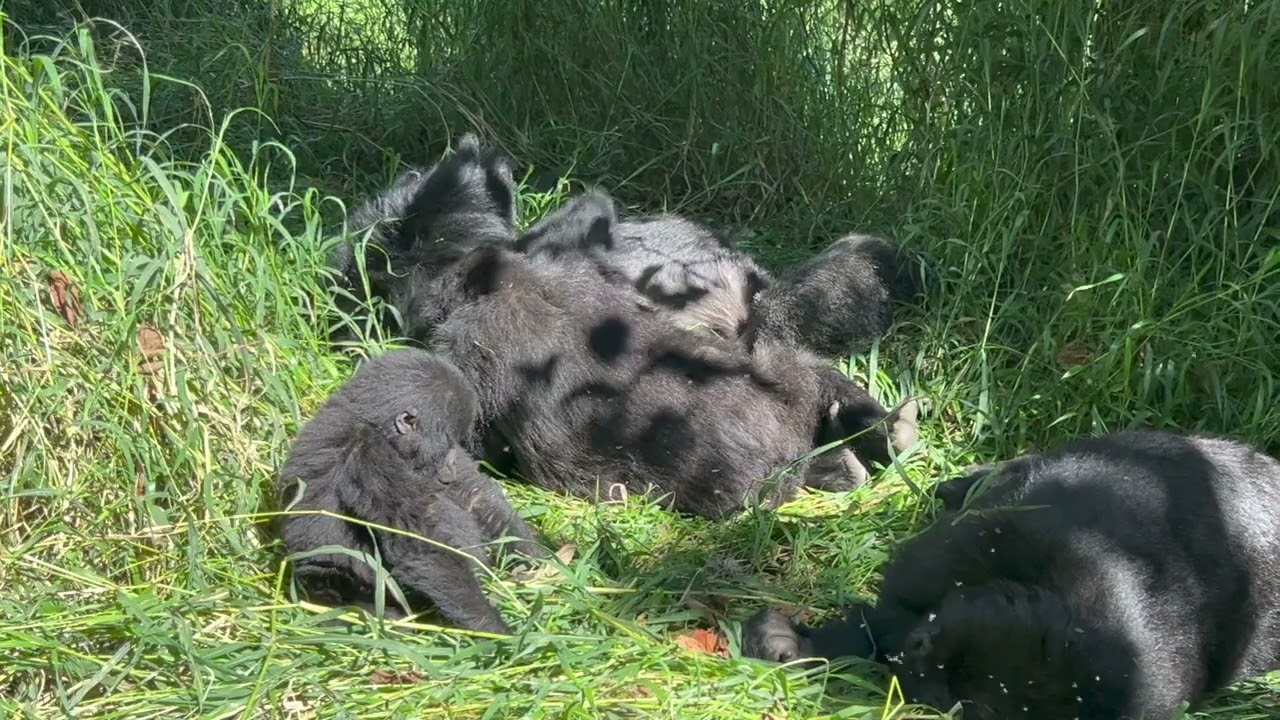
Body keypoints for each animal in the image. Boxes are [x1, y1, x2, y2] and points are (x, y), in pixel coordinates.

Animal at [275, 348, 546, 634]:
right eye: (448, 441)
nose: (451, 463)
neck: (375, 424)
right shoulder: (367, 450)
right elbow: (421, 547)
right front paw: (495, 630)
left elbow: (476, 495)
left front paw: (543, 563)